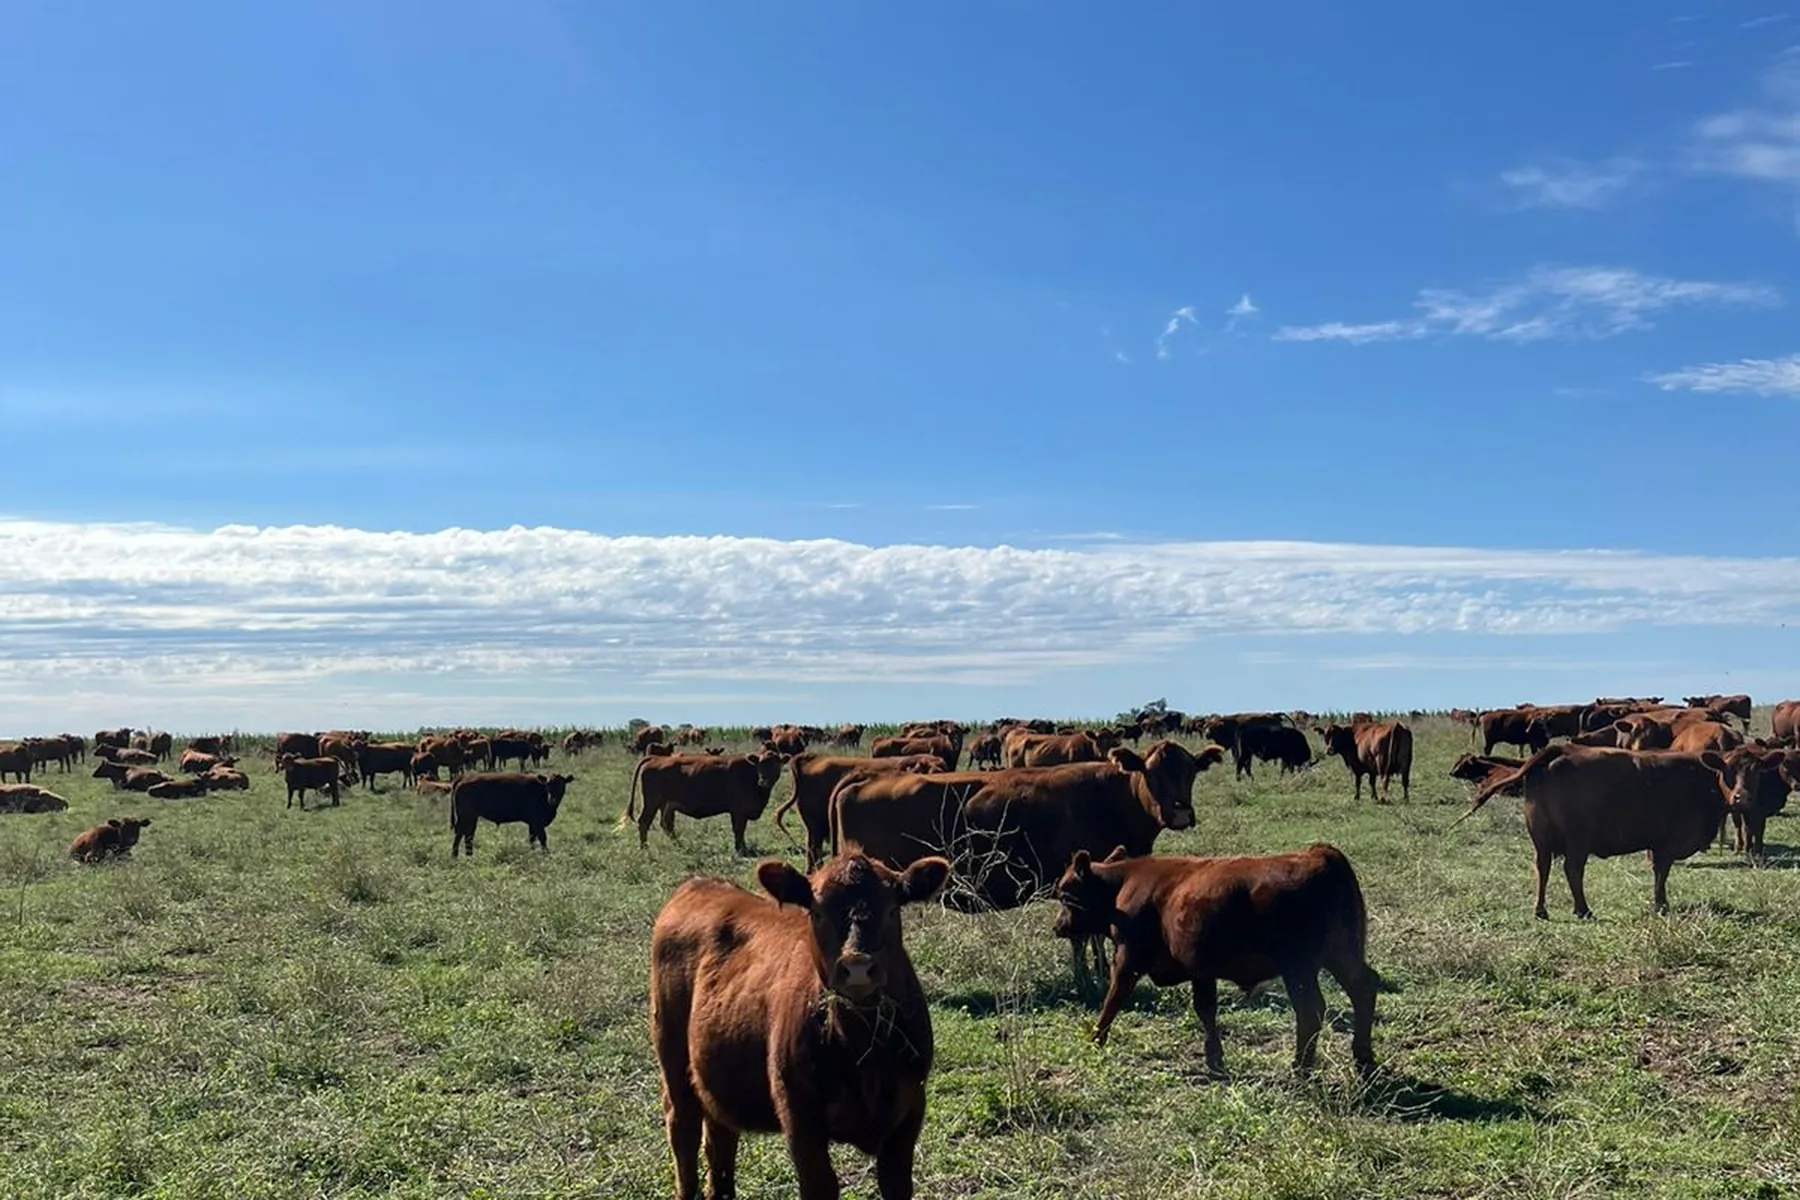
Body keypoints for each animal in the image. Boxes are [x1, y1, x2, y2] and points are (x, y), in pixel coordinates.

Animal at [628, 752, 784, 855]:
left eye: (777, 765)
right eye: (760, 765)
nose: (764, 781)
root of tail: (656, 758)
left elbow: (740, 831)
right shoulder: (738, 811)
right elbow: (739, 830)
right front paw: (741, 850)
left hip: (666, 805)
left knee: (666, 825)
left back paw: (680, 846)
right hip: (652, 802)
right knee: (644, 822)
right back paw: (644, 848)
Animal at [649, 853, 951, 1200]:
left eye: (891, 909)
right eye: (817, 912)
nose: (858, 968)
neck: (863, 1050)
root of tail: (699, 884)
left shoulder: (910, 1109)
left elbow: (896, 1183)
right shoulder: (798, 1114)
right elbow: (820, 1185)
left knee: (719, 1137)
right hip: (671, 1054)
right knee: (683, 1127)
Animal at [1052, 844, 1377, 1077]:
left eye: (1066, 895)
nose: (1057, 926)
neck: (1124, 884)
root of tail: (1319, 854)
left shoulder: (1128, 960)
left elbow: (1113, 999)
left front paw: (1095, 1039)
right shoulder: (1200, 969)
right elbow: (1206, 1009)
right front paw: (1214, 1057)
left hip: (1299, 969)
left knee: (1310, 1011)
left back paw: (1300, 1067)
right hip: (1343, 956)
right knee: (1363, 991)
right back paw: (1363, 1059)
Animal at [1456, 745, 1742, 919]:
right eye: (1728, 772)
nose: (1741, 797)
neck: (1700, 779)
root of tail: (1562, 750)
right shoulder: (1666, 844)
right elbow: (1661, 874)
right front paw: (1661, 905)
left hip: (1541, 839)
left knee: (1542, 868)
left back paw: (1541, 910)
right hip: (1577, 839)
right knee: (1572, 869)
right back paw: (1582, 909)